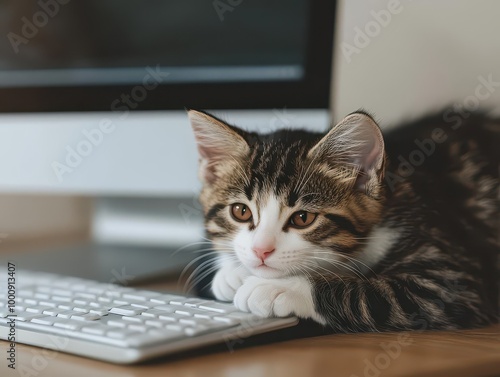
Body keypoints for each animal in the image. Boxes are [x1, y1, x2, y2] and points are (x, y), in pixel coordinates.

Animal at [189, 109, 498, 332]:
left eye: (303, 218)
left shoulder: (451, 279)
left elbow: (370, 294)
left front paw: (280, 287)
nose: (260, 250)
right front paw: (232, 272)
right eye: (241, 212)